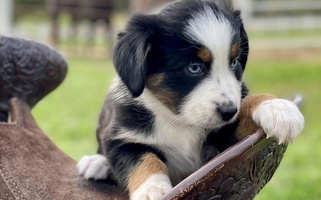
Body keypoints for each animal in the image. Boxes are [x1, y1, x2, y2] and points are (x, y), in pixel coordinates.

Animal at [77, 0, 302, 199]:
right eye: (194, 68)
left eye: (234, 62)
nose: (228, 111)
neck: (179, 120)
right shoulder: (122, 137)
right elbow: (143, 160)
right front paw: (152, 190)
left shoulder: (226, 144)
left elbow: (245, 107)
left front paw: (277, 107)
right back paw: (96, 163)